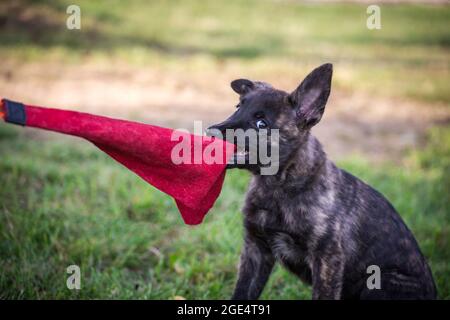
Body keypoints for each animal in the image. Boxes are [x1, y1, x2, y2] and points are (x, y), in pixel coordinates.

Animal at [207, 64, 436, 300]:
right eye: (237, 107)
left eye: (261, 123)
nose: (211, 130)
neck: (279, 186)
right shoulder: (256, 250)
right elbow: (242, 292)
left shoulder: (327, 259)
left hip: (379, 283)